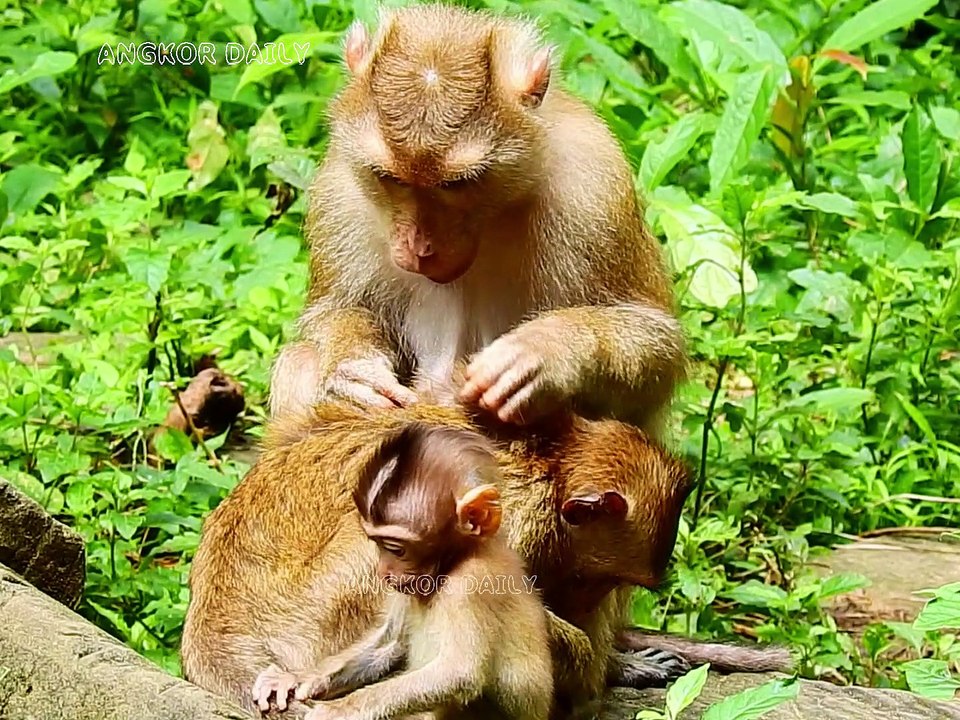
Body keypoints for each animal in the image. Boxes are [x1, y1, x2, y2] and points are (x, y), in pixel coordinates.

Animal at [249, 423, 553, 720]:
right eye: (375, 542)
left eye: (395, 548)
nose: (383, 572)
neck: (449, 566)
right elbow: (390, 642)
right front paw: (298, 677)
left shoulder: (473, 583)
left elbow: (457, 674)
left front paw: (339, 710)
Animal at [269, 2, 686, 433]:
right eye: (390, 178)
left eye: (457, 183)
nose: (420, 246)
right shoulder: (338, 194)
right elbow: (336, 310)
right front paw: (353, 369)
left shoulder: (595, 188)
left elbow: (656, 348)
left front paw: (547, 351)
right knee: (300, 362)